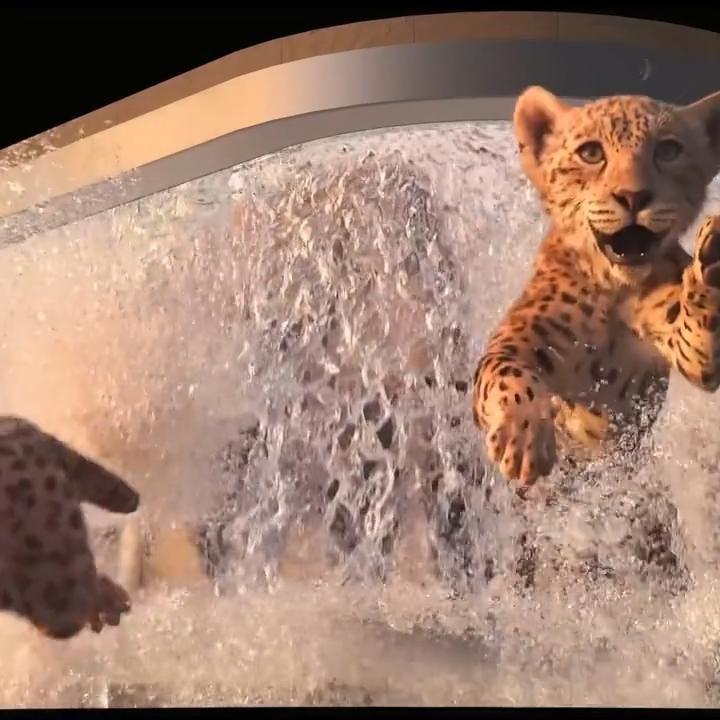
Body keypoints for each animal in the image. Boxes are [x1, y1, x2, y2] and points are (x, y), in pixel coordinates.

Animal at [473, 85, 720, 494]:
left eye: (668, 151)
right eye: (591, 153)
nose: (634, 196)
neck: (615, 290)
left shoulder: (688, 351)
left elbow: (698, 332)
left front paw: (713, 262)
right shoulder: (518, 340)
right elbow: (506, 373)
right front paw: (523, 432)